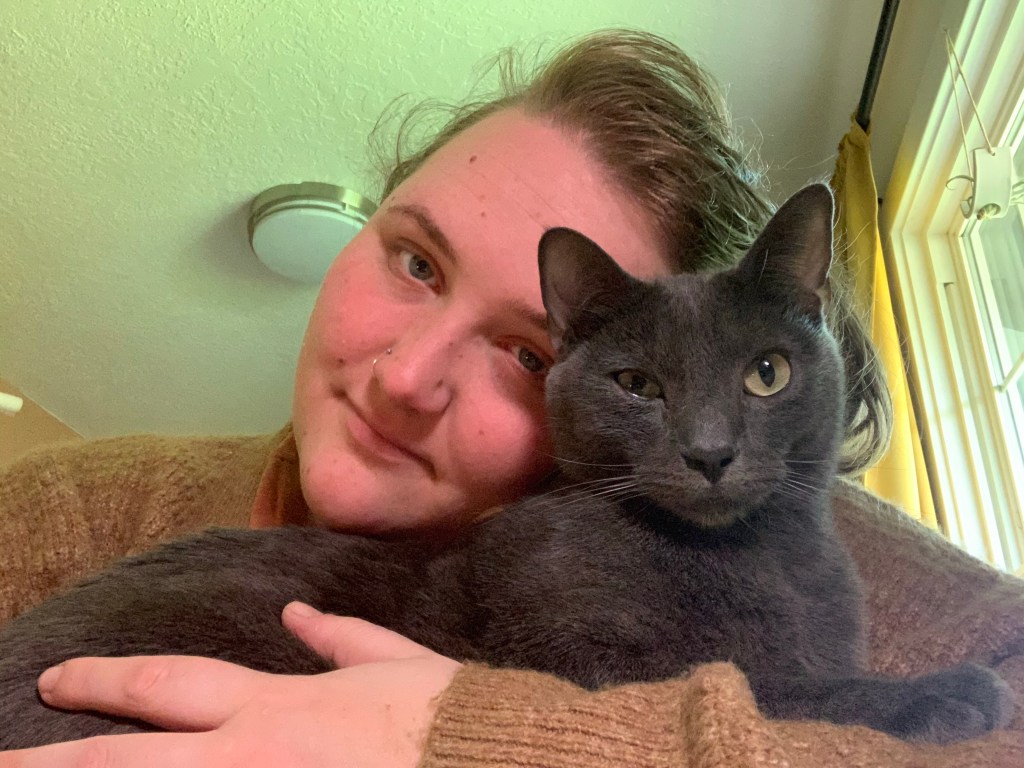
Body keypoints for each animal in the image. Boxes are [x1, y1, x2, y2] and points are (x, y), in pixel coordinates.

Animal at [0, 184, 1013, 749]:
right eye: (637, 383)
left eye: (767, 373)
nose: (711, 451)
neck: (756, 560)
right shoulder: (579, 656)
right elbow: (768, 682)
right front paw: (948, 693)